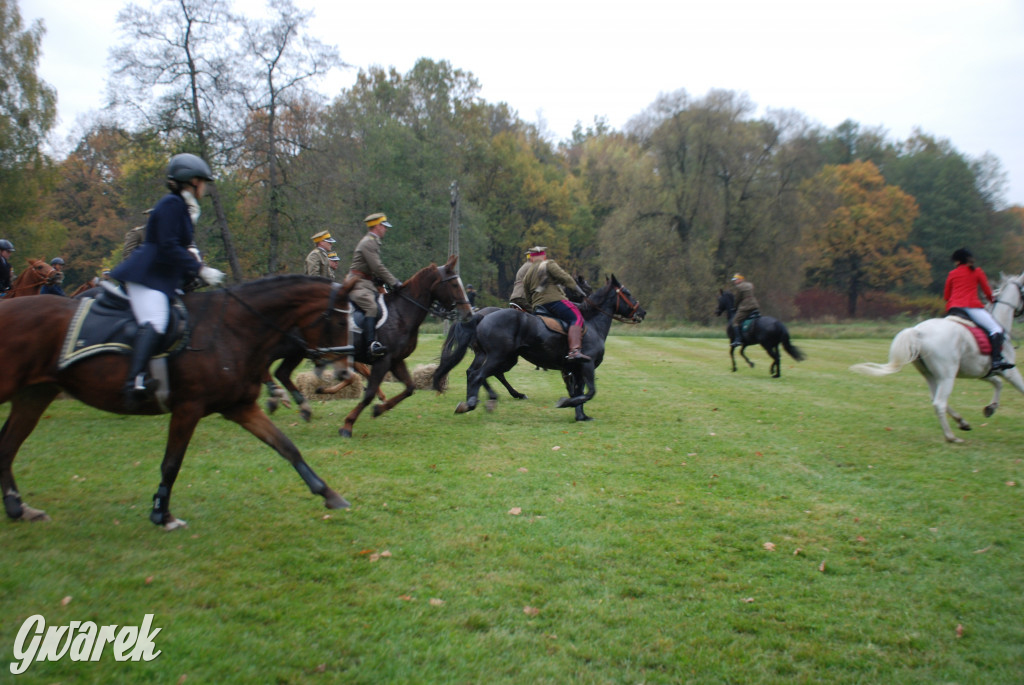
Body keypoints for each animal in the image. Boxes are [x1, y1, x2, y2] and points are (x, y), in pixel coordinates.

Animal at [0, 274, 356, 528]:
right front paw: (162, 513)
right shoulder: (189, 408)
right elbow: (171, 463)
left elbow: (287, 447)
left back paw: (19, 508)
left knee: (8, 444)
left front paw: (329, 494)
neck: (232, 330)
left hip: (35, 394)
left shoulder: (239, 407)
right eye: (341, 321)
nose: (344, 371)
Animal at [317, 254, 473, 438]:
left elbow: (409, 388)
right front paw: (348, 425)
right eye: (454, 284)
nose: (469, 313)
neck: (401, 313)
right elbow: (369, 392)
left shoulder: (396, 360)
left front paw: (379, 409)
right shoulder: (383, 360)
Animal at [434, 274, 643, 419]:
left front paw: (580, 415)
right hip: (499, 357)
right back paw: (476, 402)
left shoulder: (577, 369)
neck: (591, 323)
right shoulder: (586, 365)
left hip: (494, 357)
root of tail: (481, 315)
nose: (642, 312)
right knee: (478, 375)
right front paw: (566, 403)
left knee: (475, 373)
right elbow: (588, 392)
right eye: (628, 293)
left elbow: (579, 391)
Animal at [847, 270, 1024, 440]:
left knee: (936, 399)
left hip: (930, 374)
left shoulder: (982, 372)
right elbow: (1019, 387)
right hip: (947, 375)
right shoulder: (1009, 371)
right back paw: (951, 437)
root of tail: (918, 332)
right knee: (939, 402)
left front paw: (990, 408)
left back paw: (962, 422)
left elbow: (998, 383)